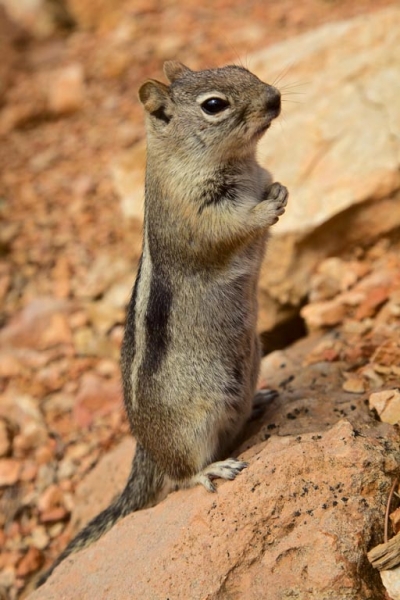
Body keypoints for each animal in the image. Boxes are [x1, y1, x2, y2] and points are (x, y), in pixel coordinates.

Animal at [37, 61, 288, 584]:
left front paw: (279, 189)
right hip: (191, 426)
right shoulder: (195, 216)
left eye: (243, 68)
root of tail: (146, 451)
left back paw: (259, 400)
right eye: (214, 105)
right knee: (181, 475)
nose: (275, 98)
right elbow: (229, 228)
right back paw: (211, 470)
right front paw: (268, 206)